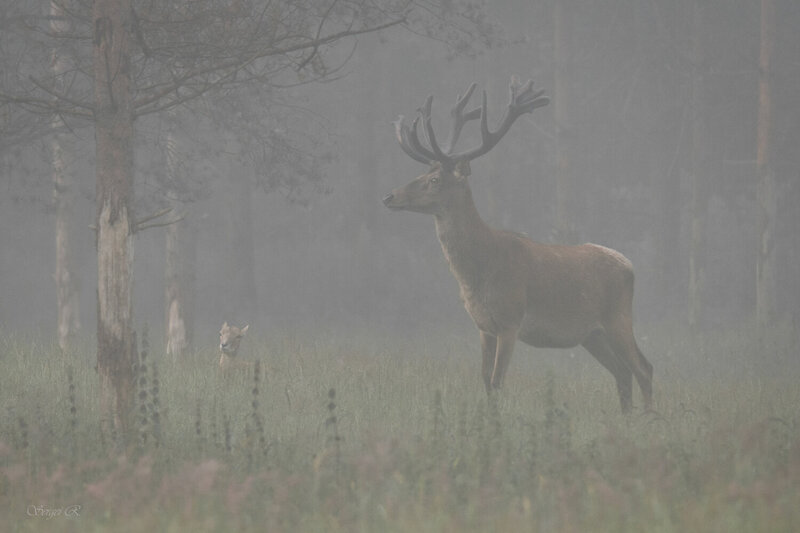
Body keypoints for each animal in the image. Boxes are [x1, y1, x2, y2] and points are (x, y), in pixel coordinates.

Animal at [383, 77, 653, 413]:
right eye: (421, 173)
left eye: (435, 181)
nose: (389, 196)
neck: (479, 271)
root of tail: (629, 265)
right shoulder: (483, 326)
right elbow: (485, 380)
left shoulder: (510, 320)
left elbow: (498, 381)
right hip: (591, 334)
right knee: (623, 372)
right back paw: (627, 418)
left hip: (618, 316)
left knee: (643, 367)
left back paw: (650, 418)